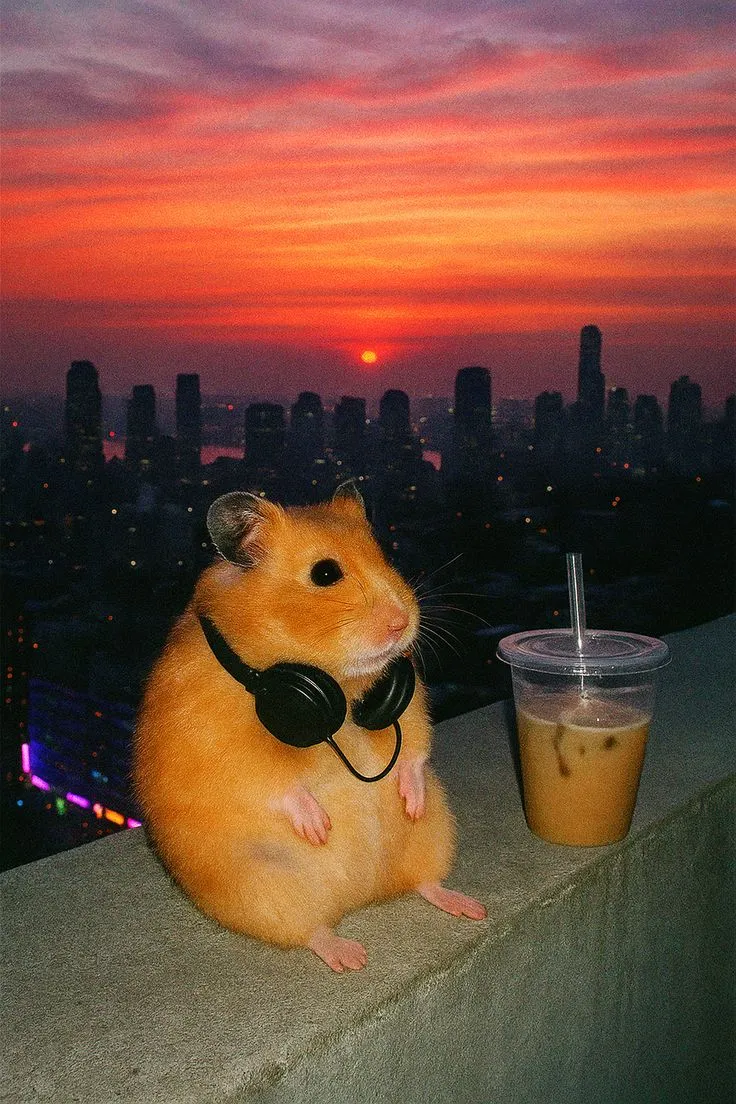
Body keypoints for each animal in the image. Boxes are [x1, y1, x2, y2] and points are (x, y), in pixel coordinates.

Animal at [133, 484, 485, 971]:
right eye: (324, 573)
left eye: (383, 554)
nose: (402, 623)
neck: (334, 680)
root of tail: (362, 897)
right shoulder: (215, 738)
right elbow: (269, 778)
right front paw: (319, 826)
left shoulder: (406, 693)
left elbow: (414, 745)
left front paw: (409, 799)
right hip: (264, 883)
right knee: (311, 929)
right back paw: (351, 957)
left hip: (435, 831)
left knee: (424, 882)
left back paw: (469, 907)